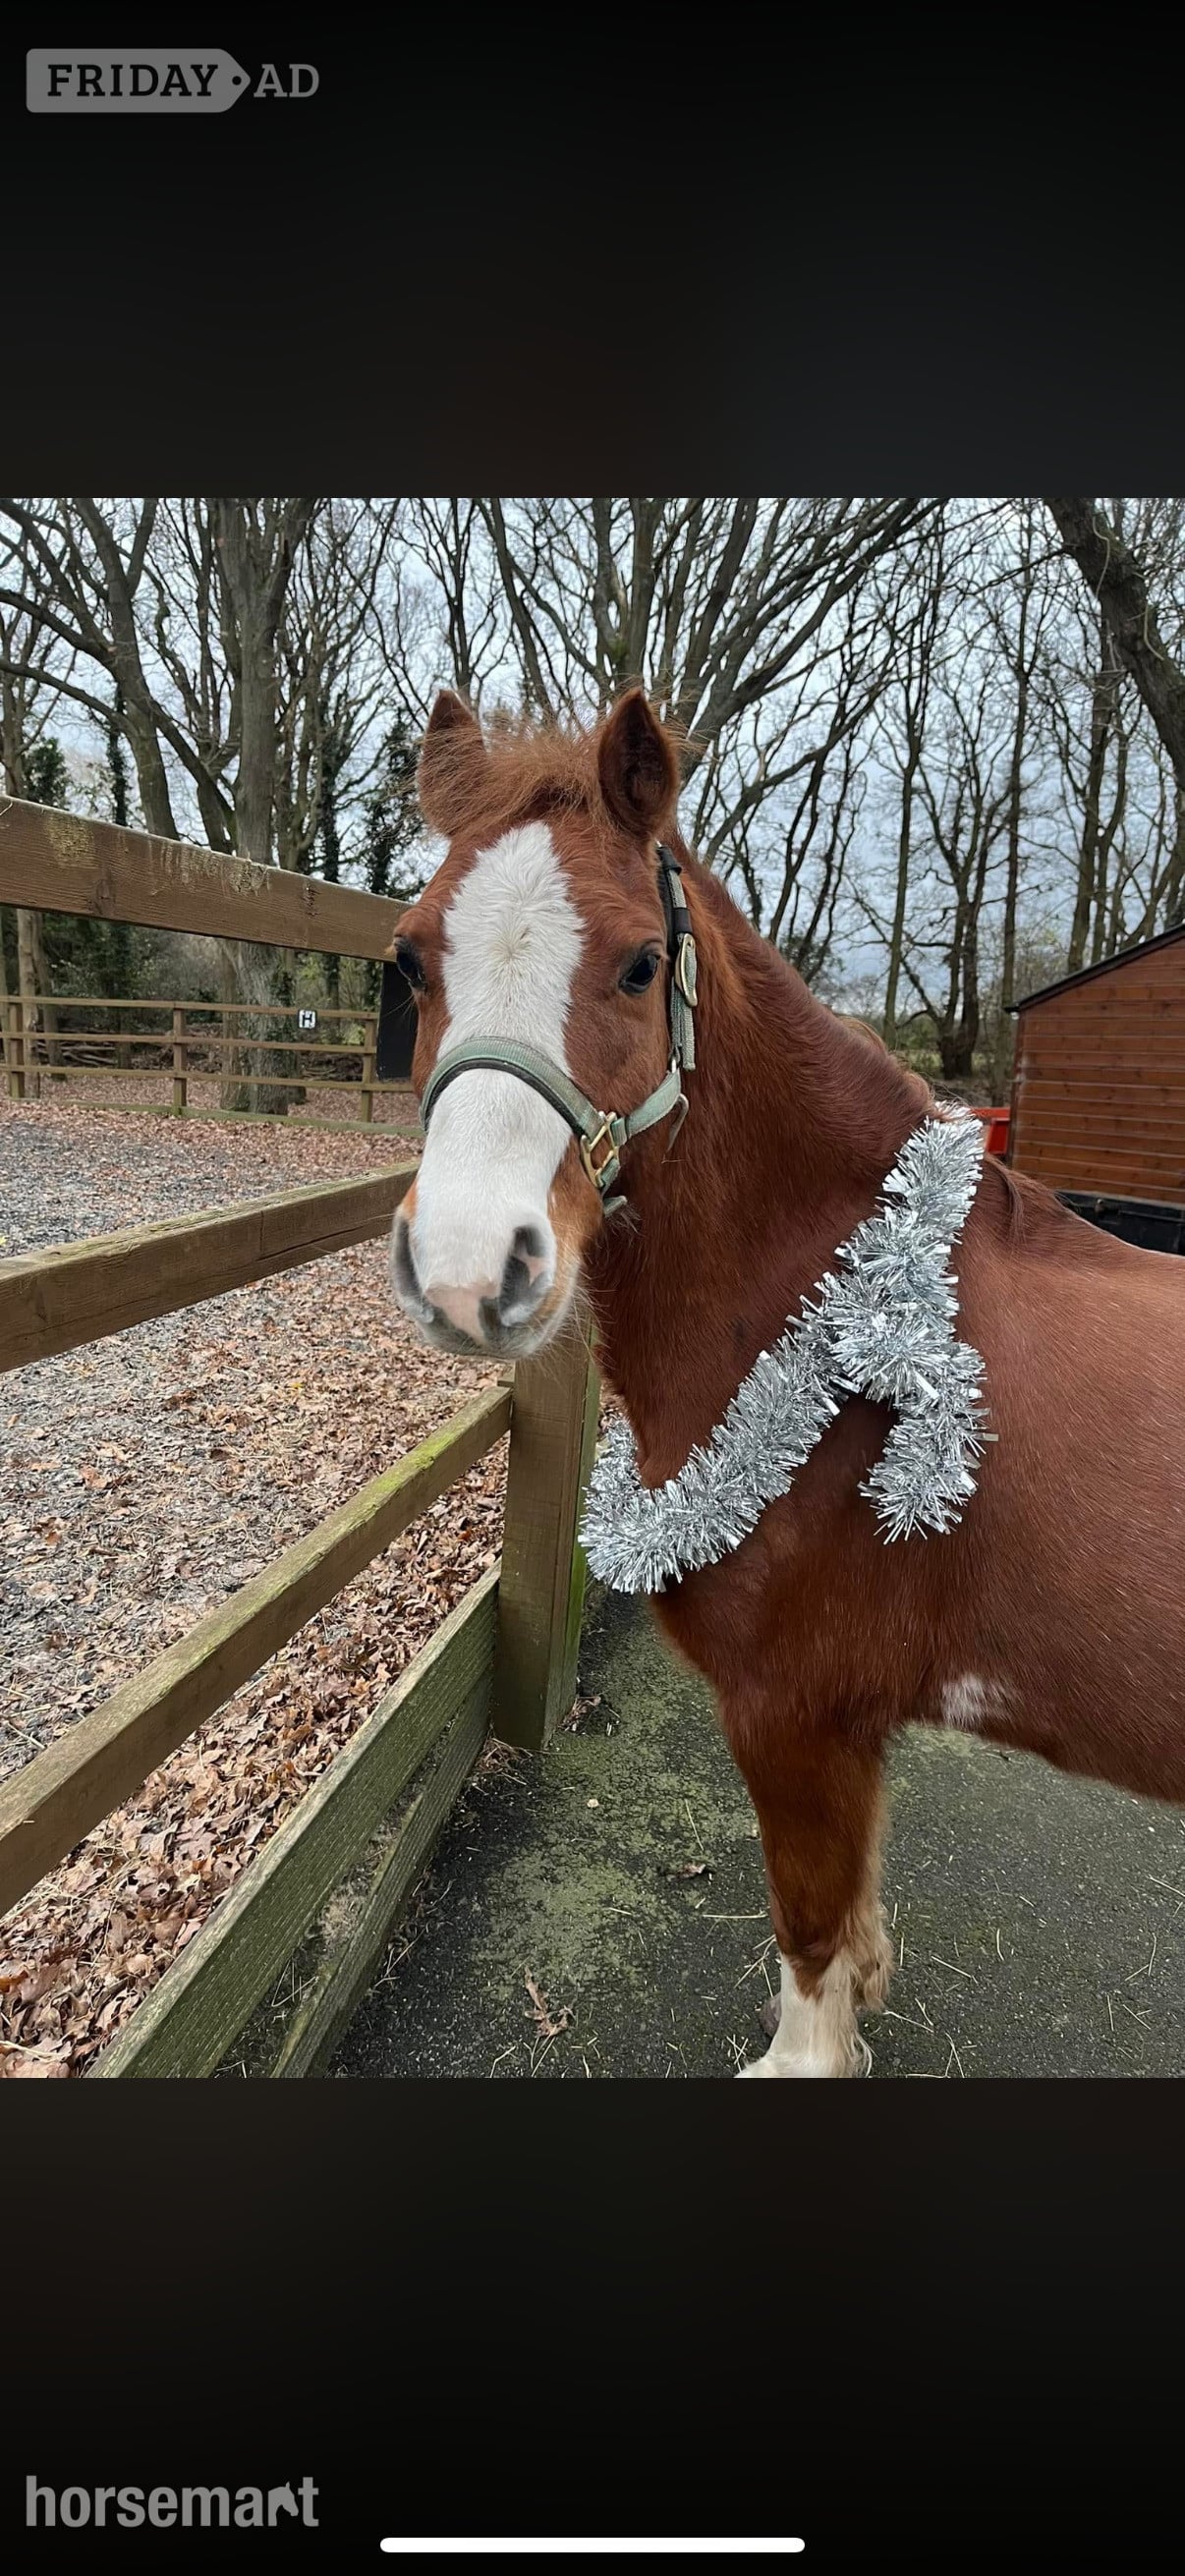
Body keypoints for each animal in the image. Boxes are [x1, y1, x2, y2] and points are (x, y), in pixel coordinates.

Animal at [389, 684, 1185, 2077]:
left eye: (640, 964)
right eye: (409, 960)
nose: (468, 1271)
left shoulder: (792, 1715)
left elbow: (809, 1928)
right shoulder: (849, 1734)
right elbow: (850, 1912)